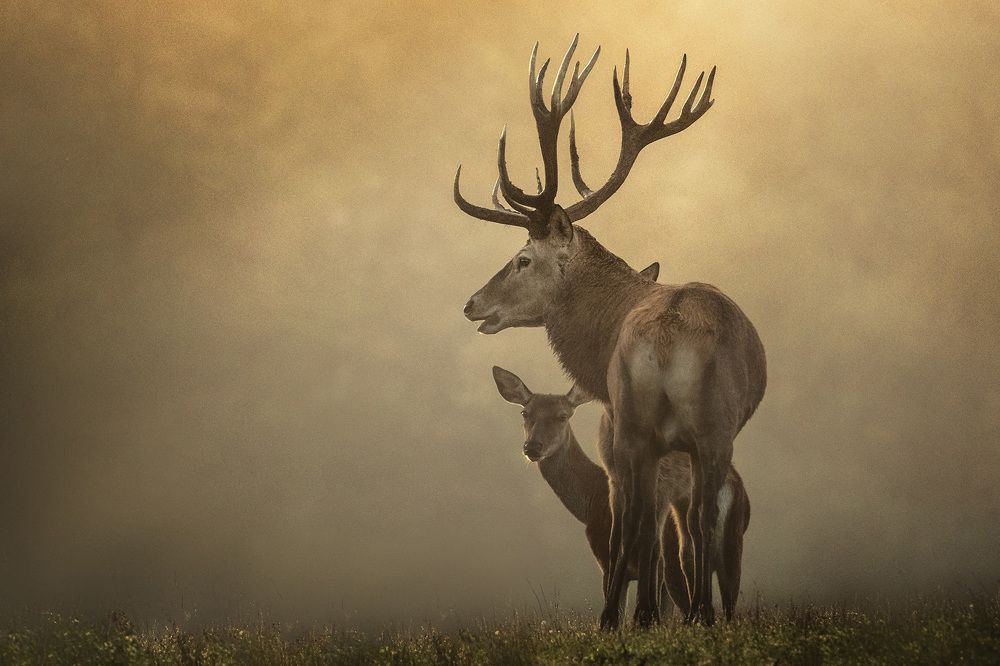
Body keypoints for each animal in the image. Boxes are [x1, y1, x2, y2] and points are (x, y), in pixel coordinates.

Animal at [491, 364, 751, 621]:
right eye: (525, 413)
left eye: (562, 416)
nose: (532, 447)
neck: (590, 505)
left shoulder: (606, 560)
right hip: (730, 544)